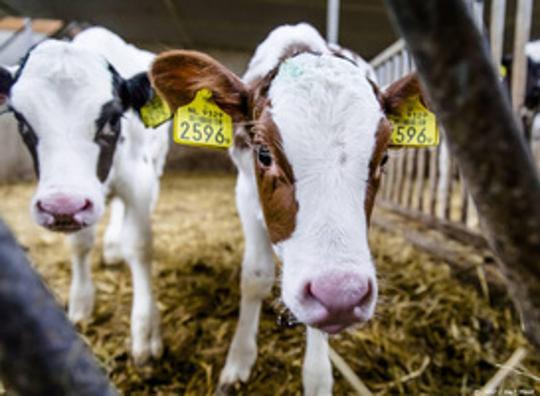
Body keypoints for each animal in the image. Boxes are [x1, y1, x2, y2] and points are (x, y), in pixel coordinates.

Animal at [0, 26, 169, 364]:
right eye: (21, 120)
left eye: (113, 118)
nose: (60, 206)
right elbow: (80, 244)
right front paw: (80, 303)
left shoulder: (140, 181)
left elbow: (140, 245)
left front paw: (145, 330)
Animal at [150, 23, 424, 394]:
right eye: (264, 153)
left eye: (383, 158)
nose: (341, 296)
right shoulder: (245, 192)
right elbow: (255, 277)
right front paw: (239, 359)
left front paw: (318, 377)